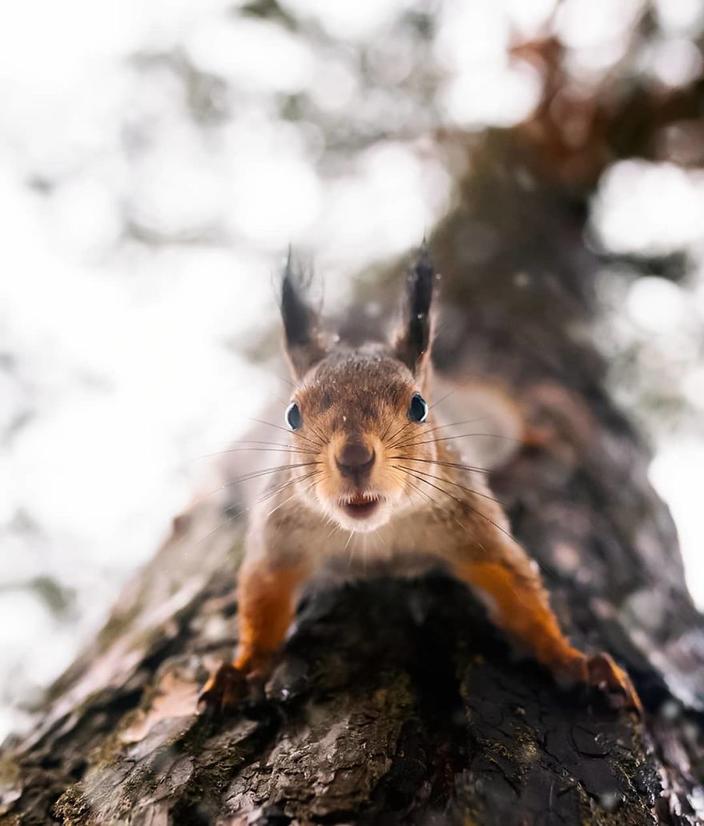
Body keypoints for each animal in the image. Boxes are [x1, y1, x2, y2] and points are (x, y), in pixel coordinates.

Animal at [197, 246, 640, 716]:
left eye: (419, 406)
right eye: (292, 414)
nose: (354, 458)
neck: (375, 534)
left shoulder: (474, 526)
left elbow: (517, 589)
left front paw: (573, 661)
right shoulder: (278, 539)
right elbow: (262, 600)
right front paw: (240, 671)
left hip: (491, 421)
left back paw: (540, 434)